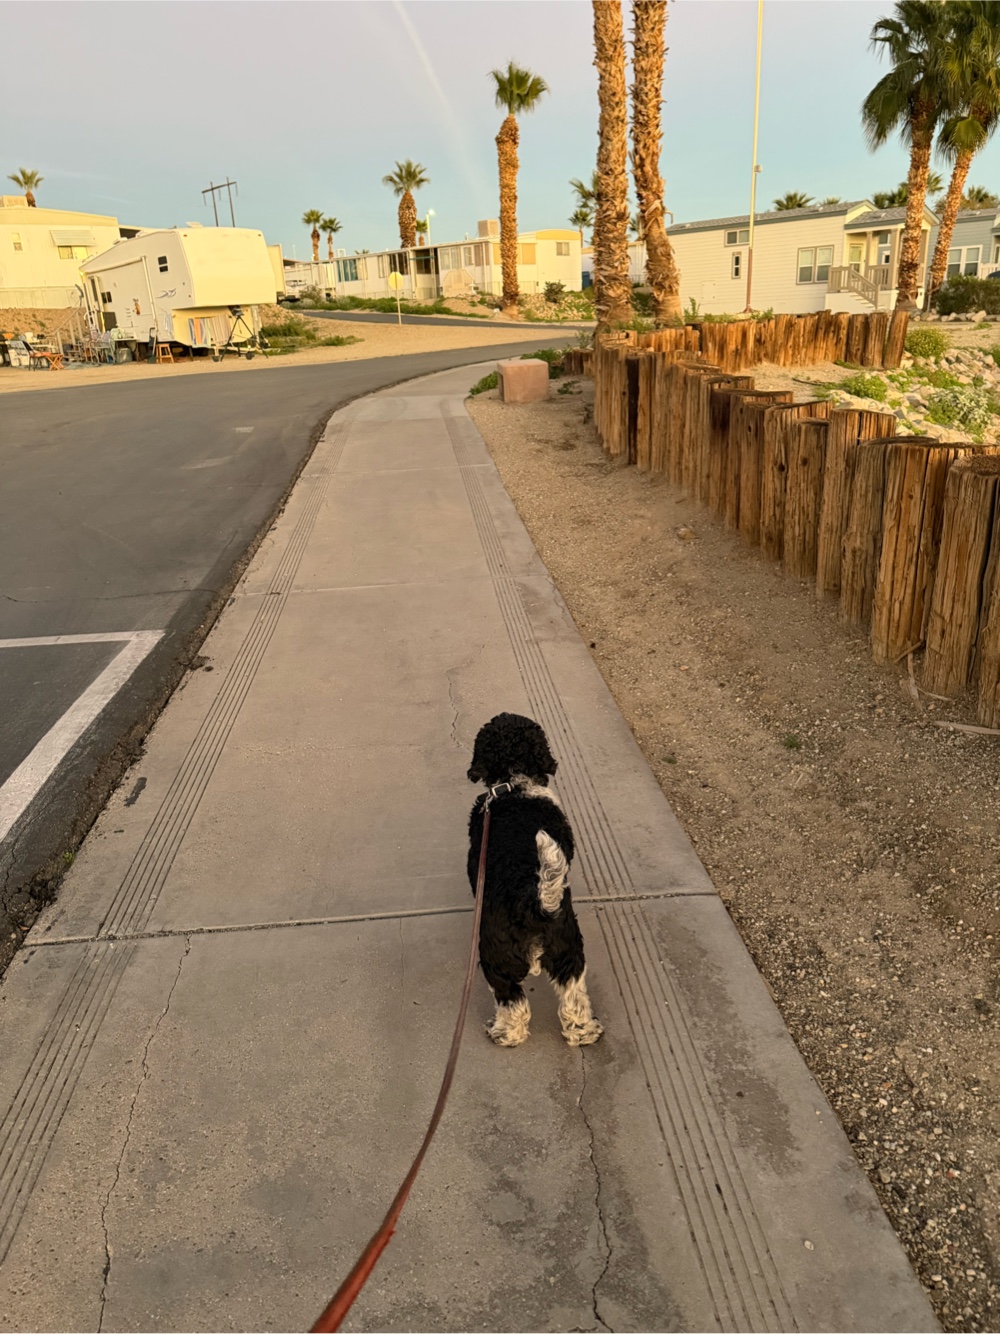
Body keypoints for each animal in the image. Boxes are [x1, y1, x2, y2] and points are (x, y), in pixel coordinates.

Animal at [466, 712, 603, 1048]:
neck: (514, 783)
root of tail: (533, 903)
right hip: (568, 948)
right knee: (572, 995)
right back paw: (584, 1032)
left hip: (496, 957)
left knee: (511, 1000)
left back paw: (505, 1034)